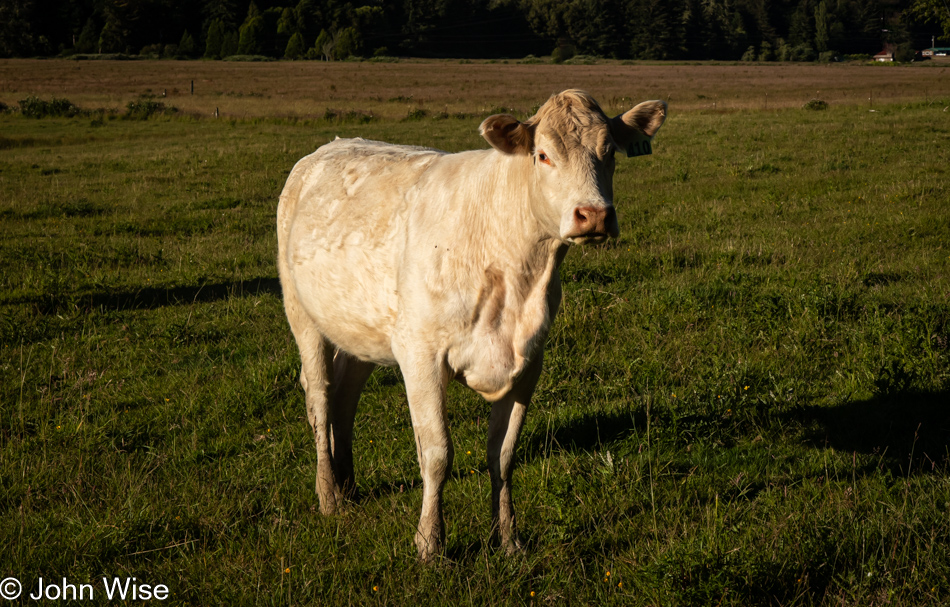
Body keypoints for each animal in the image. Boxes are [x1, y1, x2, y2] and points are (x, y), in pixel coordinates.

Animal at [278, 89, 668, 560]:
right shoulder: (421, 356)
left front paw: (509, 539)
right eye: (543, 155)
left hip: (362, 329)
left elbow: (503, 454)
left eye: (609, 153)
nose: (593, 215)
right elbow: (437, 454)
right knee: (319, 397)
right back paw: (329, 495)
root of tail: (328, 147)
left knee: (345, 396)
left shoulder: (529, 363)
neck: (517, 275)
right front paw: (430, 542)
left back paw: (348, 483)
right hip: (301, 314)